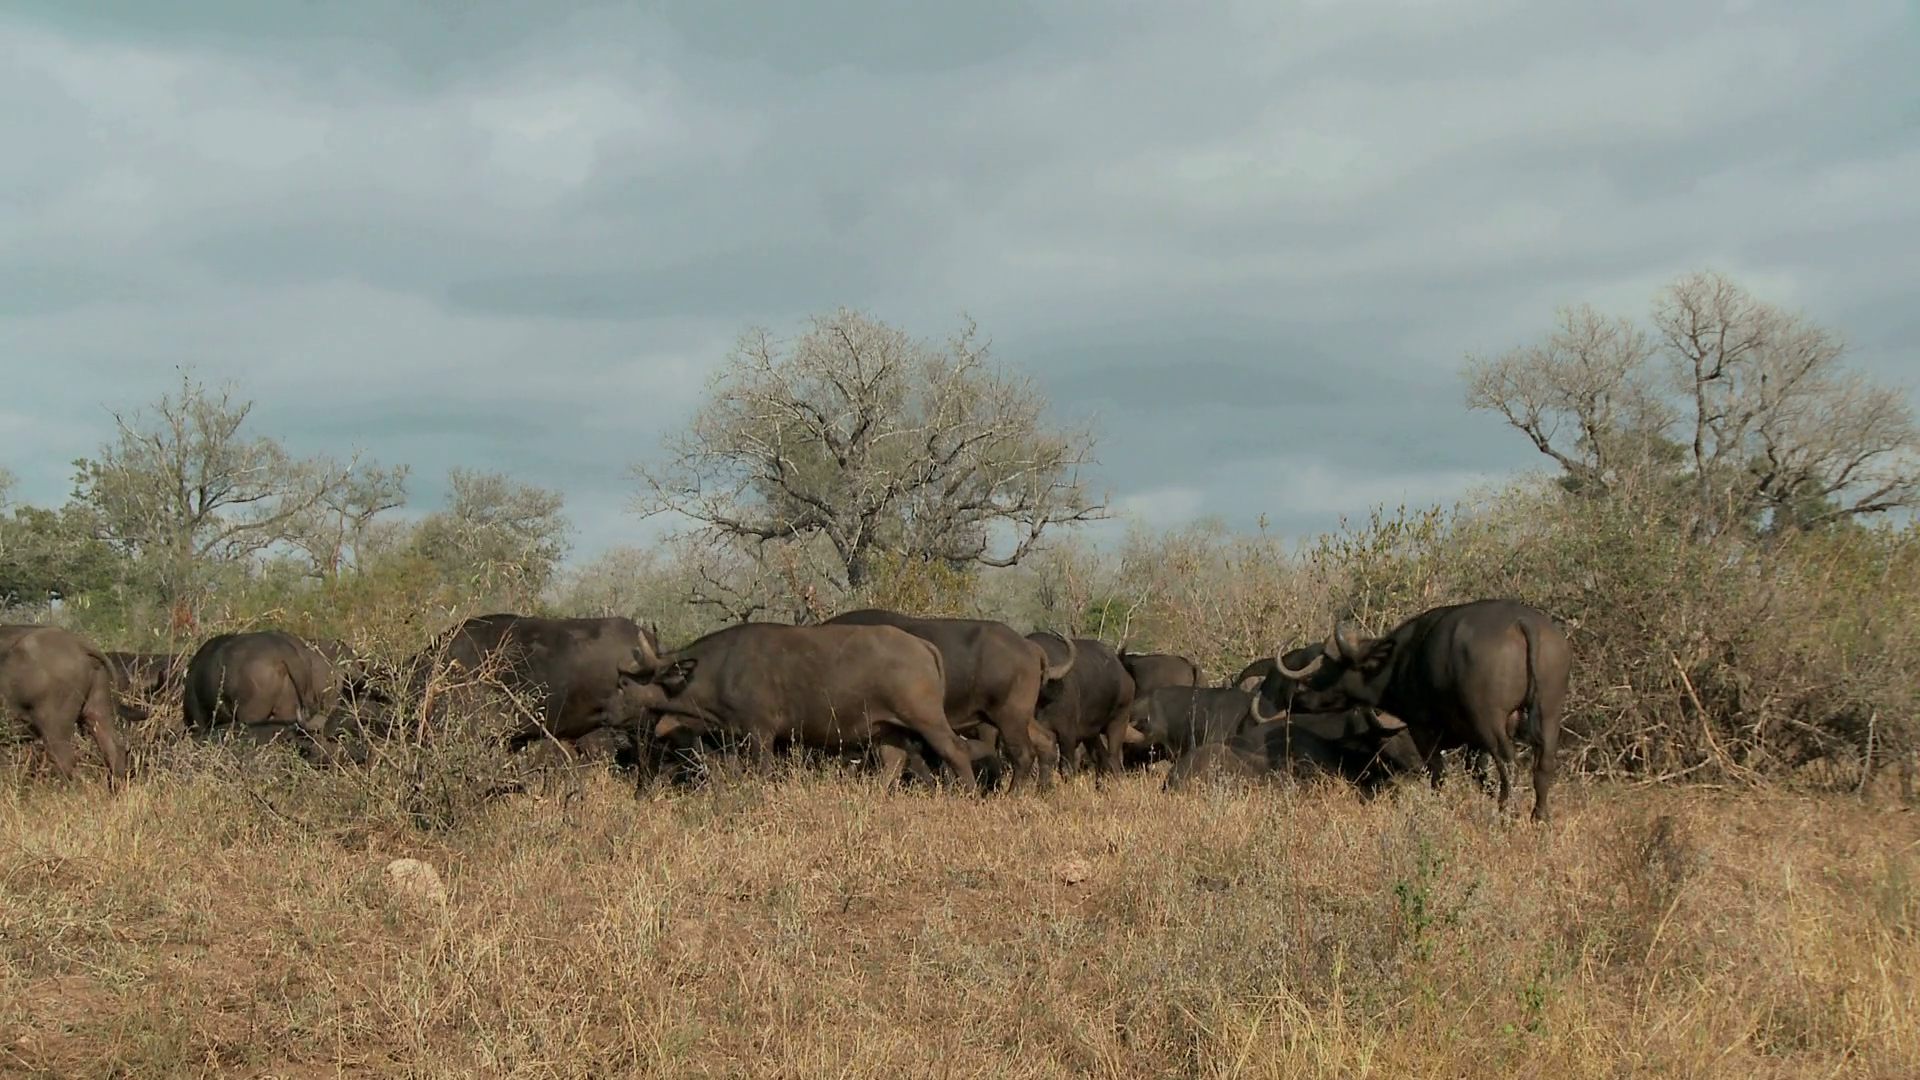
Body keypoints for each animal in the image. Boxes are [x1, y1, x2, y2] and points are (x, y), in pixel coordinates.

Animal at [1278, 599, 1570, 821]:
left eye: (1329, 665)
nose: (1298, 691)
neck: (1399, 661)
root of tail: (1523, 622)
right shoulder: (1473, 742)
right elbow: (1475, 770)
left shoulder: (1422, 728)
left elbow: (1438, 772)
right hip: (1549, 713)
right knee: (1543, 764)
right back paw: (1539, 817)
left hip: (1489, 720)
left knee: (1509, 763)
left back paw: (1506, 812)